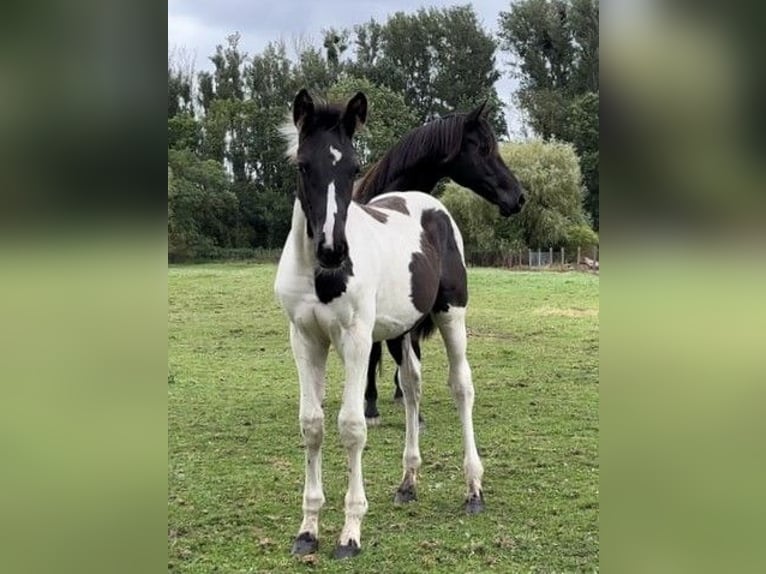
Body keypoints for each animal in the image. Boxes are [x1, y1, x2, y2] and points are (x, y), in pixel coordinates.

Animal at [280, 89, 486, 560]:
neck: (320, 276)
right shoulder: (304, 339)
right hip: (401, 330)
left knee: (461, 387)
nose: (333, 251)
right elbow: (312, 425)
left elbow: (352, 426)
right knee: (411, 386)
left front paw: (350, 532)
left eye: (354, 168)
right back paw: (408, 481)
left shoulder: (356, 340)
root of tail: (433, 206)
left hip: (452, 313)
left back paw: (474, 489)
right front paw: (308, 529)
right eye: (302, 165)